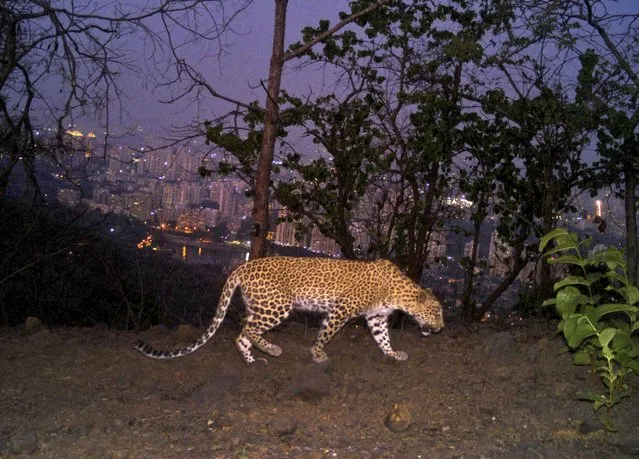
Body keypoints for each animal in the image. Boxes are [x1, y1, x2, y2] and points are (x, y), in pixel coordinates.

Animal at [135, 256, 444, 364]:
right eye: (437, 312)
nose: (441, 328)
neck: (399, 294)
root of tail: (242, 266)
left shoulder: (377, 317)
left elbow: (383, 338)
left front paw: (393, 354)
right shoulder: (340, 310)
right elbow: (326, 334)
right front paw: (317, 353)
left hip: (260, 305)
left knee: (242, 334)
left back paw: (252, 360)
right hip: (278, 306)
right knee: (246, 329)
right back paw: (272, 349)